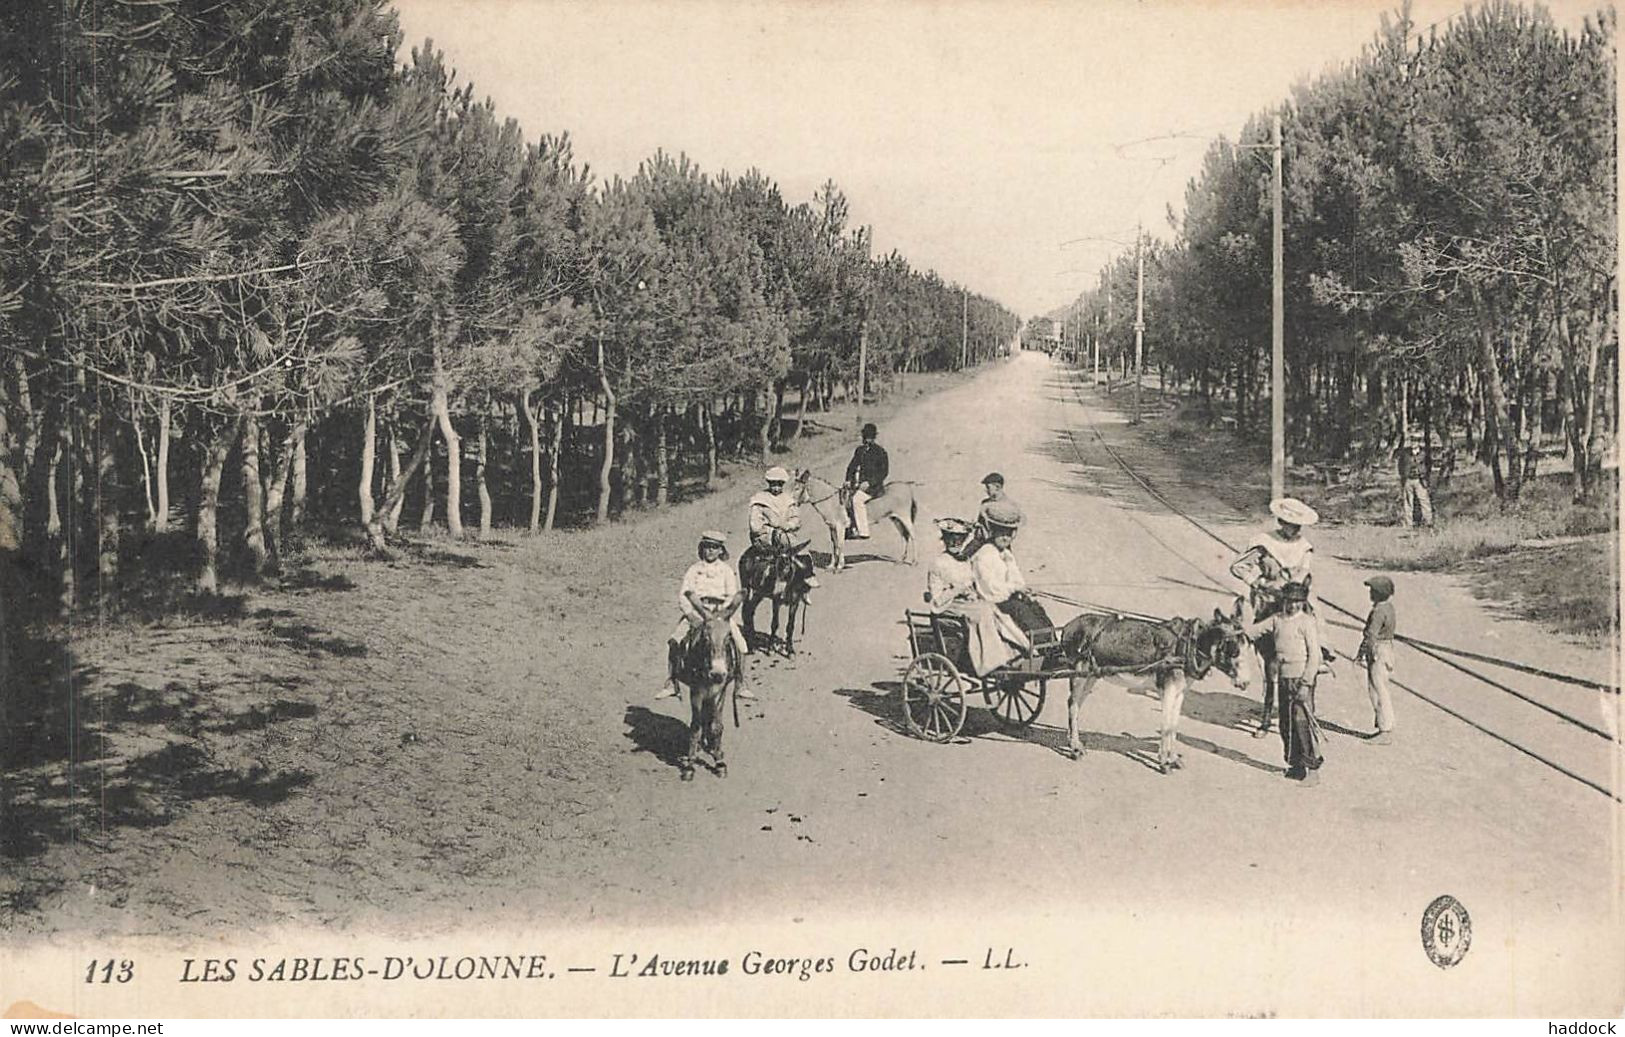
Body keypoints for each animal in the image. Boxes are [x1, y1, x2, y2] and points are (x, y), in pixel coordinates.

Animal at [672, 614, 744, 783]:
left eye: (728, 636)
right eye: (705, 637)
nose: (717, 674)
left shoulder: (720, 691)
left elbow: (716, 726)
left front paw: (720, 763)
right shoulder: (696, 691)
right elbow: (695, 727)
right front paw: (689, 766)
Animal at [793, 468, 923, 568]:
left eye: (797, 488)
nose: (792, 504)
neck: (832, 502)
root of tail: (906, 486)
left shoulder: (840, 527)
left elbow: (840, 544)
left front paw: (839, 566)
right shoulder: (832, 527)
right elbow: (834, 545)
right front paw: (831, 566)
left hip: (905, 517)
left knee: (913, 536)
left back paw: (914, 562)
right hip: (895, 519)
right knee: (904, 537)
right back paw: (900, 560)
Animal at [1059, 614, 1248, 776]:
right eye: (1234, 651)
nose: (1246, 683)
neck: (1188, 646)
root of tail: (1069, 625)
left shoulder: (1180, 692)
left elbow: (1174, 725)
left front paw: (1174, 759)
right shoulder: (1168, 690)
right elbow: (1166, 726)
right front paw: (1164, 763)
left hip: (1091, 675)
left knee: (1076, 705)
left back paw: (1074, 742)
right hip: (1079, 673)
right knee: (1072, 704)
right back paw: (1075, 749)